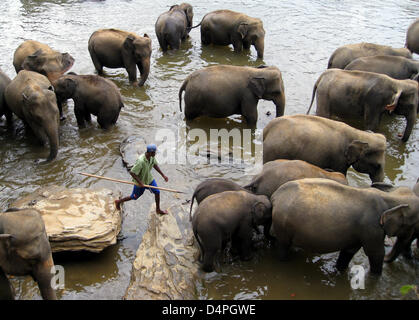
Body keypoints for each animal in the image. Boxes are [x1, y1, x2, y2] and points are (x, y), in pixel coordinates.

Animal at [270, 179, 419, 274]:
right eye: (414, 225)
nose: (410, 257)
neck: (390, 197)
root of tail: (275, 196)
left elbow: (349, 251)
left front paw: (340, 270)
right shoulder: (372, 228)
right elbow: (376, 253)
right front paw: (375, 277)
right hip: (283, 225)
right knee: (283, 245)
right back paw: (286, 261)